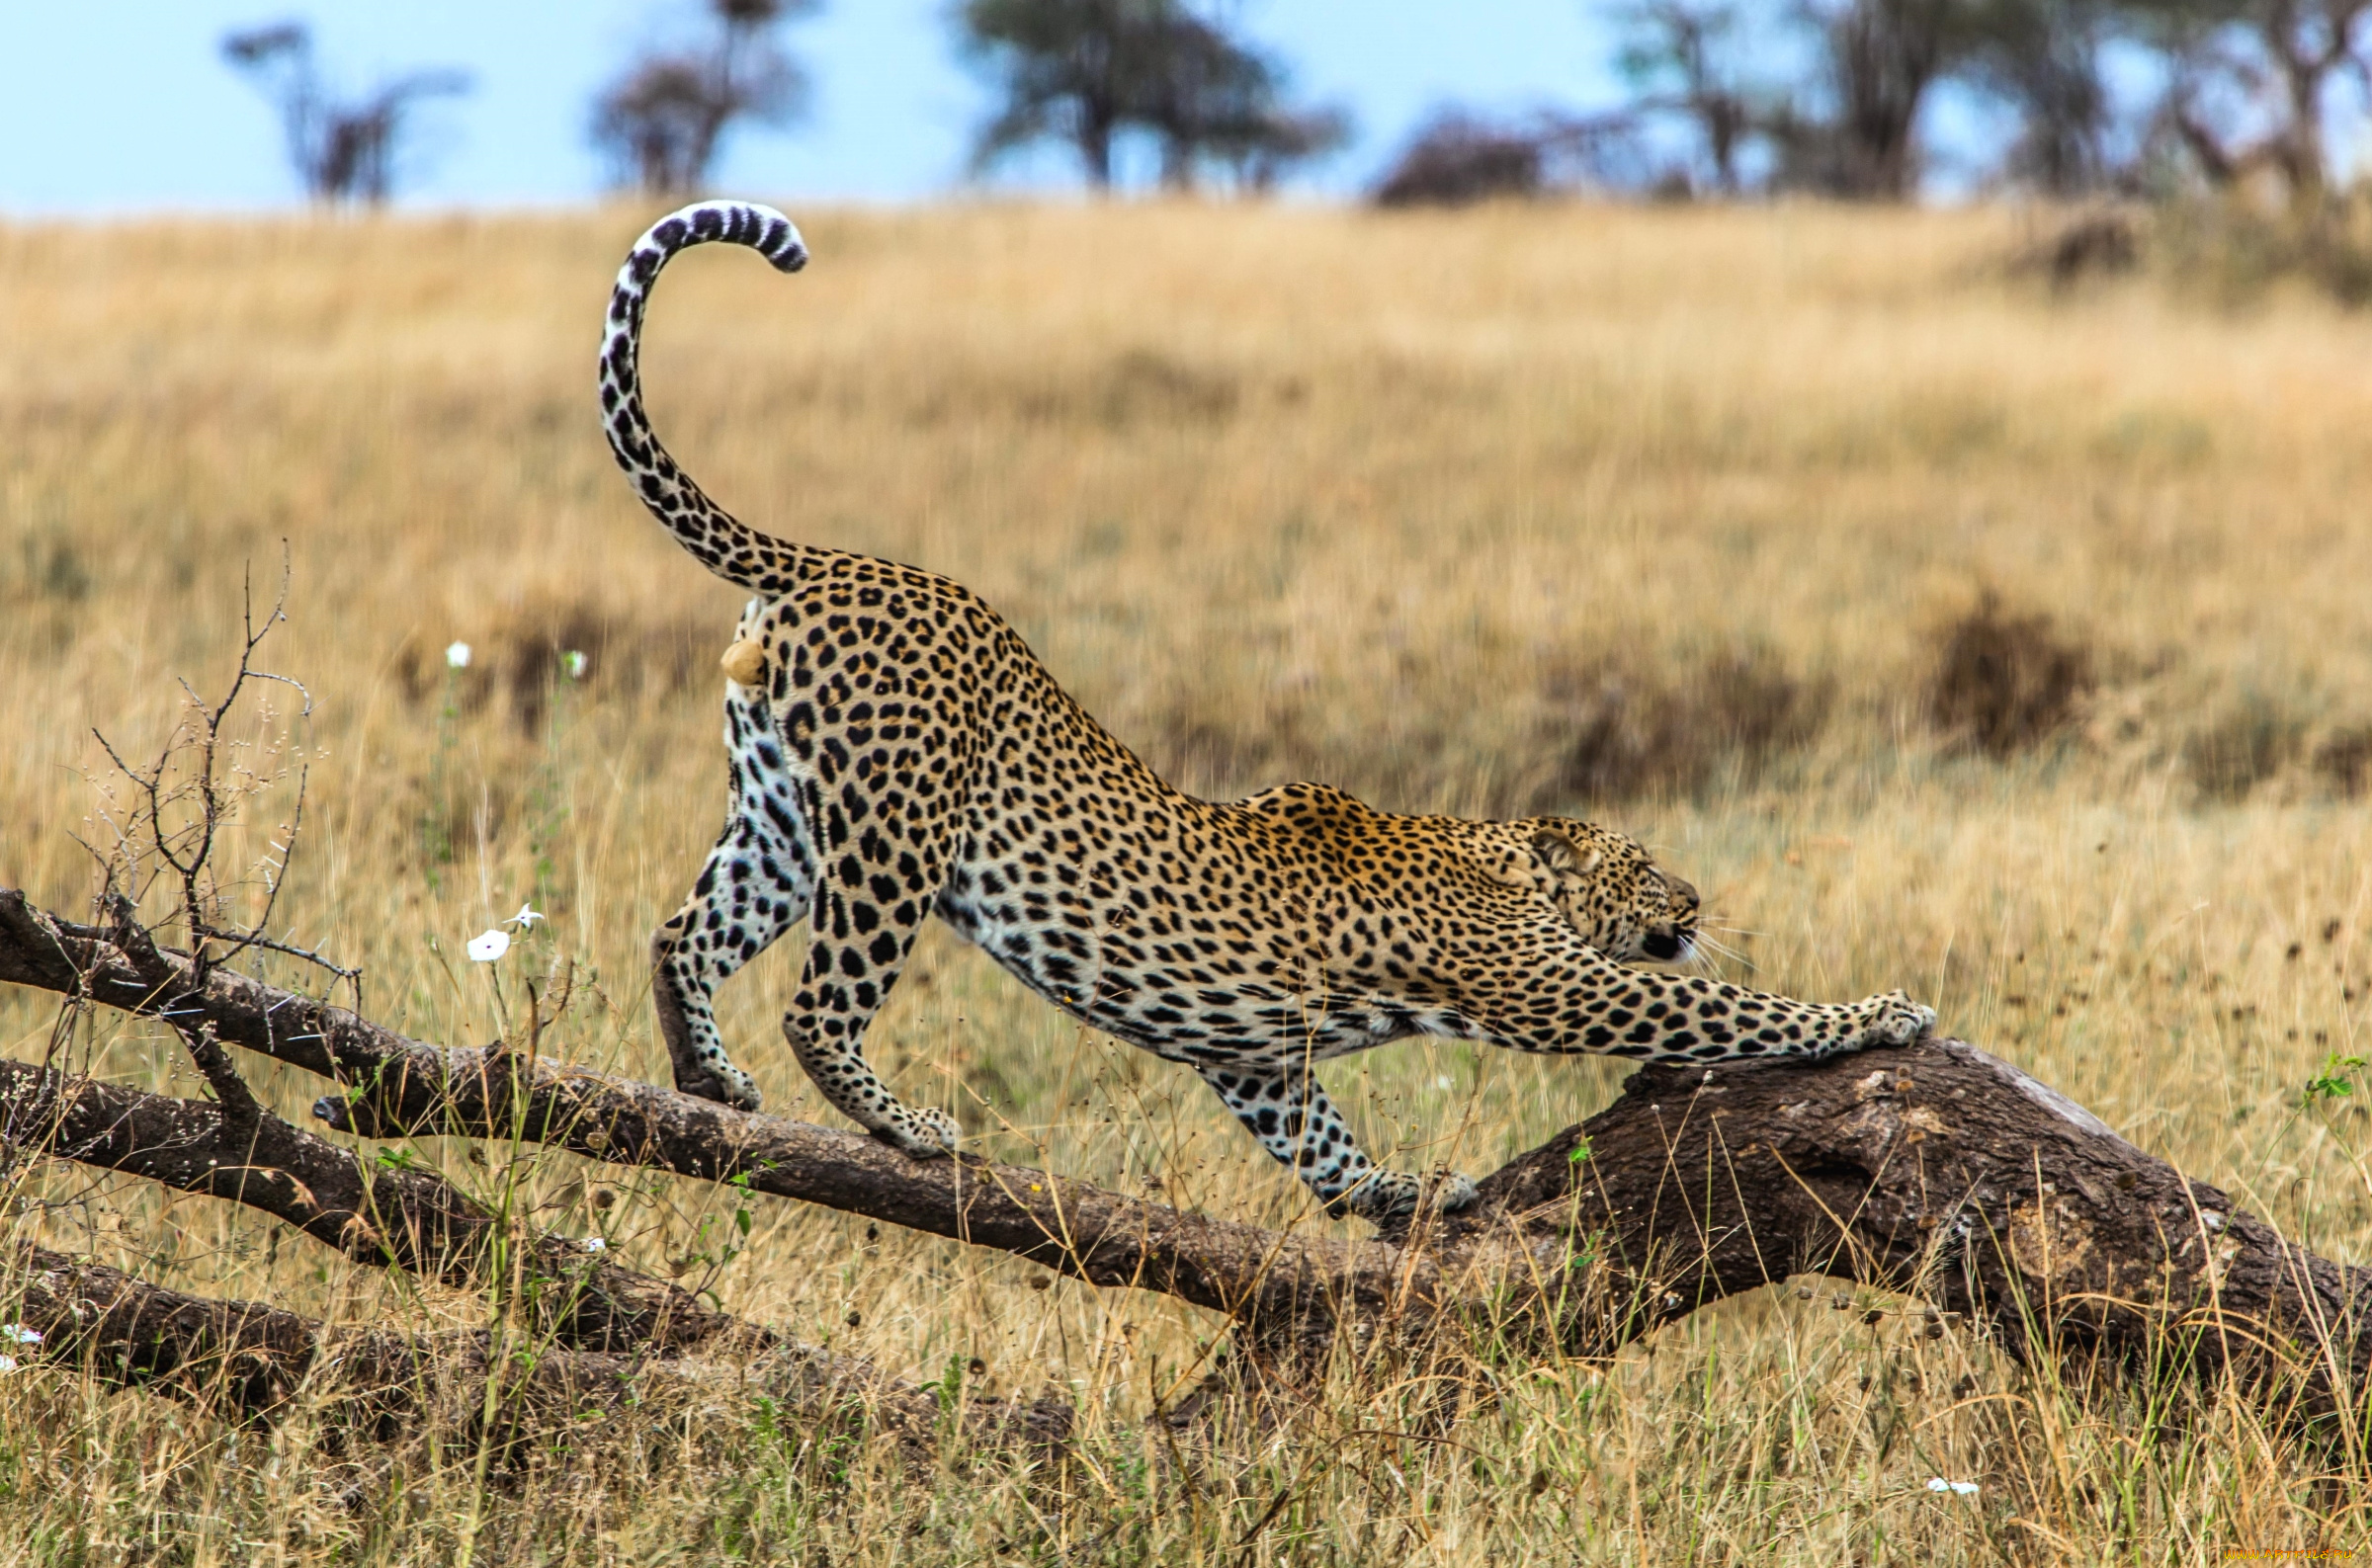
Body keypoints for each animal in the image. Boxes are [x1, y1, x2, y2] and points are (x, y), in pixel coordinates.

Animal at [602, 199, 1935, 1223]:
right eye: (1647, 864)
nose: (1698, 902)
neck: (1499, 860)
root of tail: (823, 559)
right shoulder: (1549, 982)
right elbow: (1727, 1008)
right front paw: (1882, 1010)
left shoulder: (1253, 1055)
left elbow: (1319, 1143)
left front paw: (1398, 1196)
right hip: (895, 837)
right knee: (818, 1003)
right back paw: (906, 1128)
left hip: (782, 815)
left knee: (681, 935)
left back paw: (709, 1083)